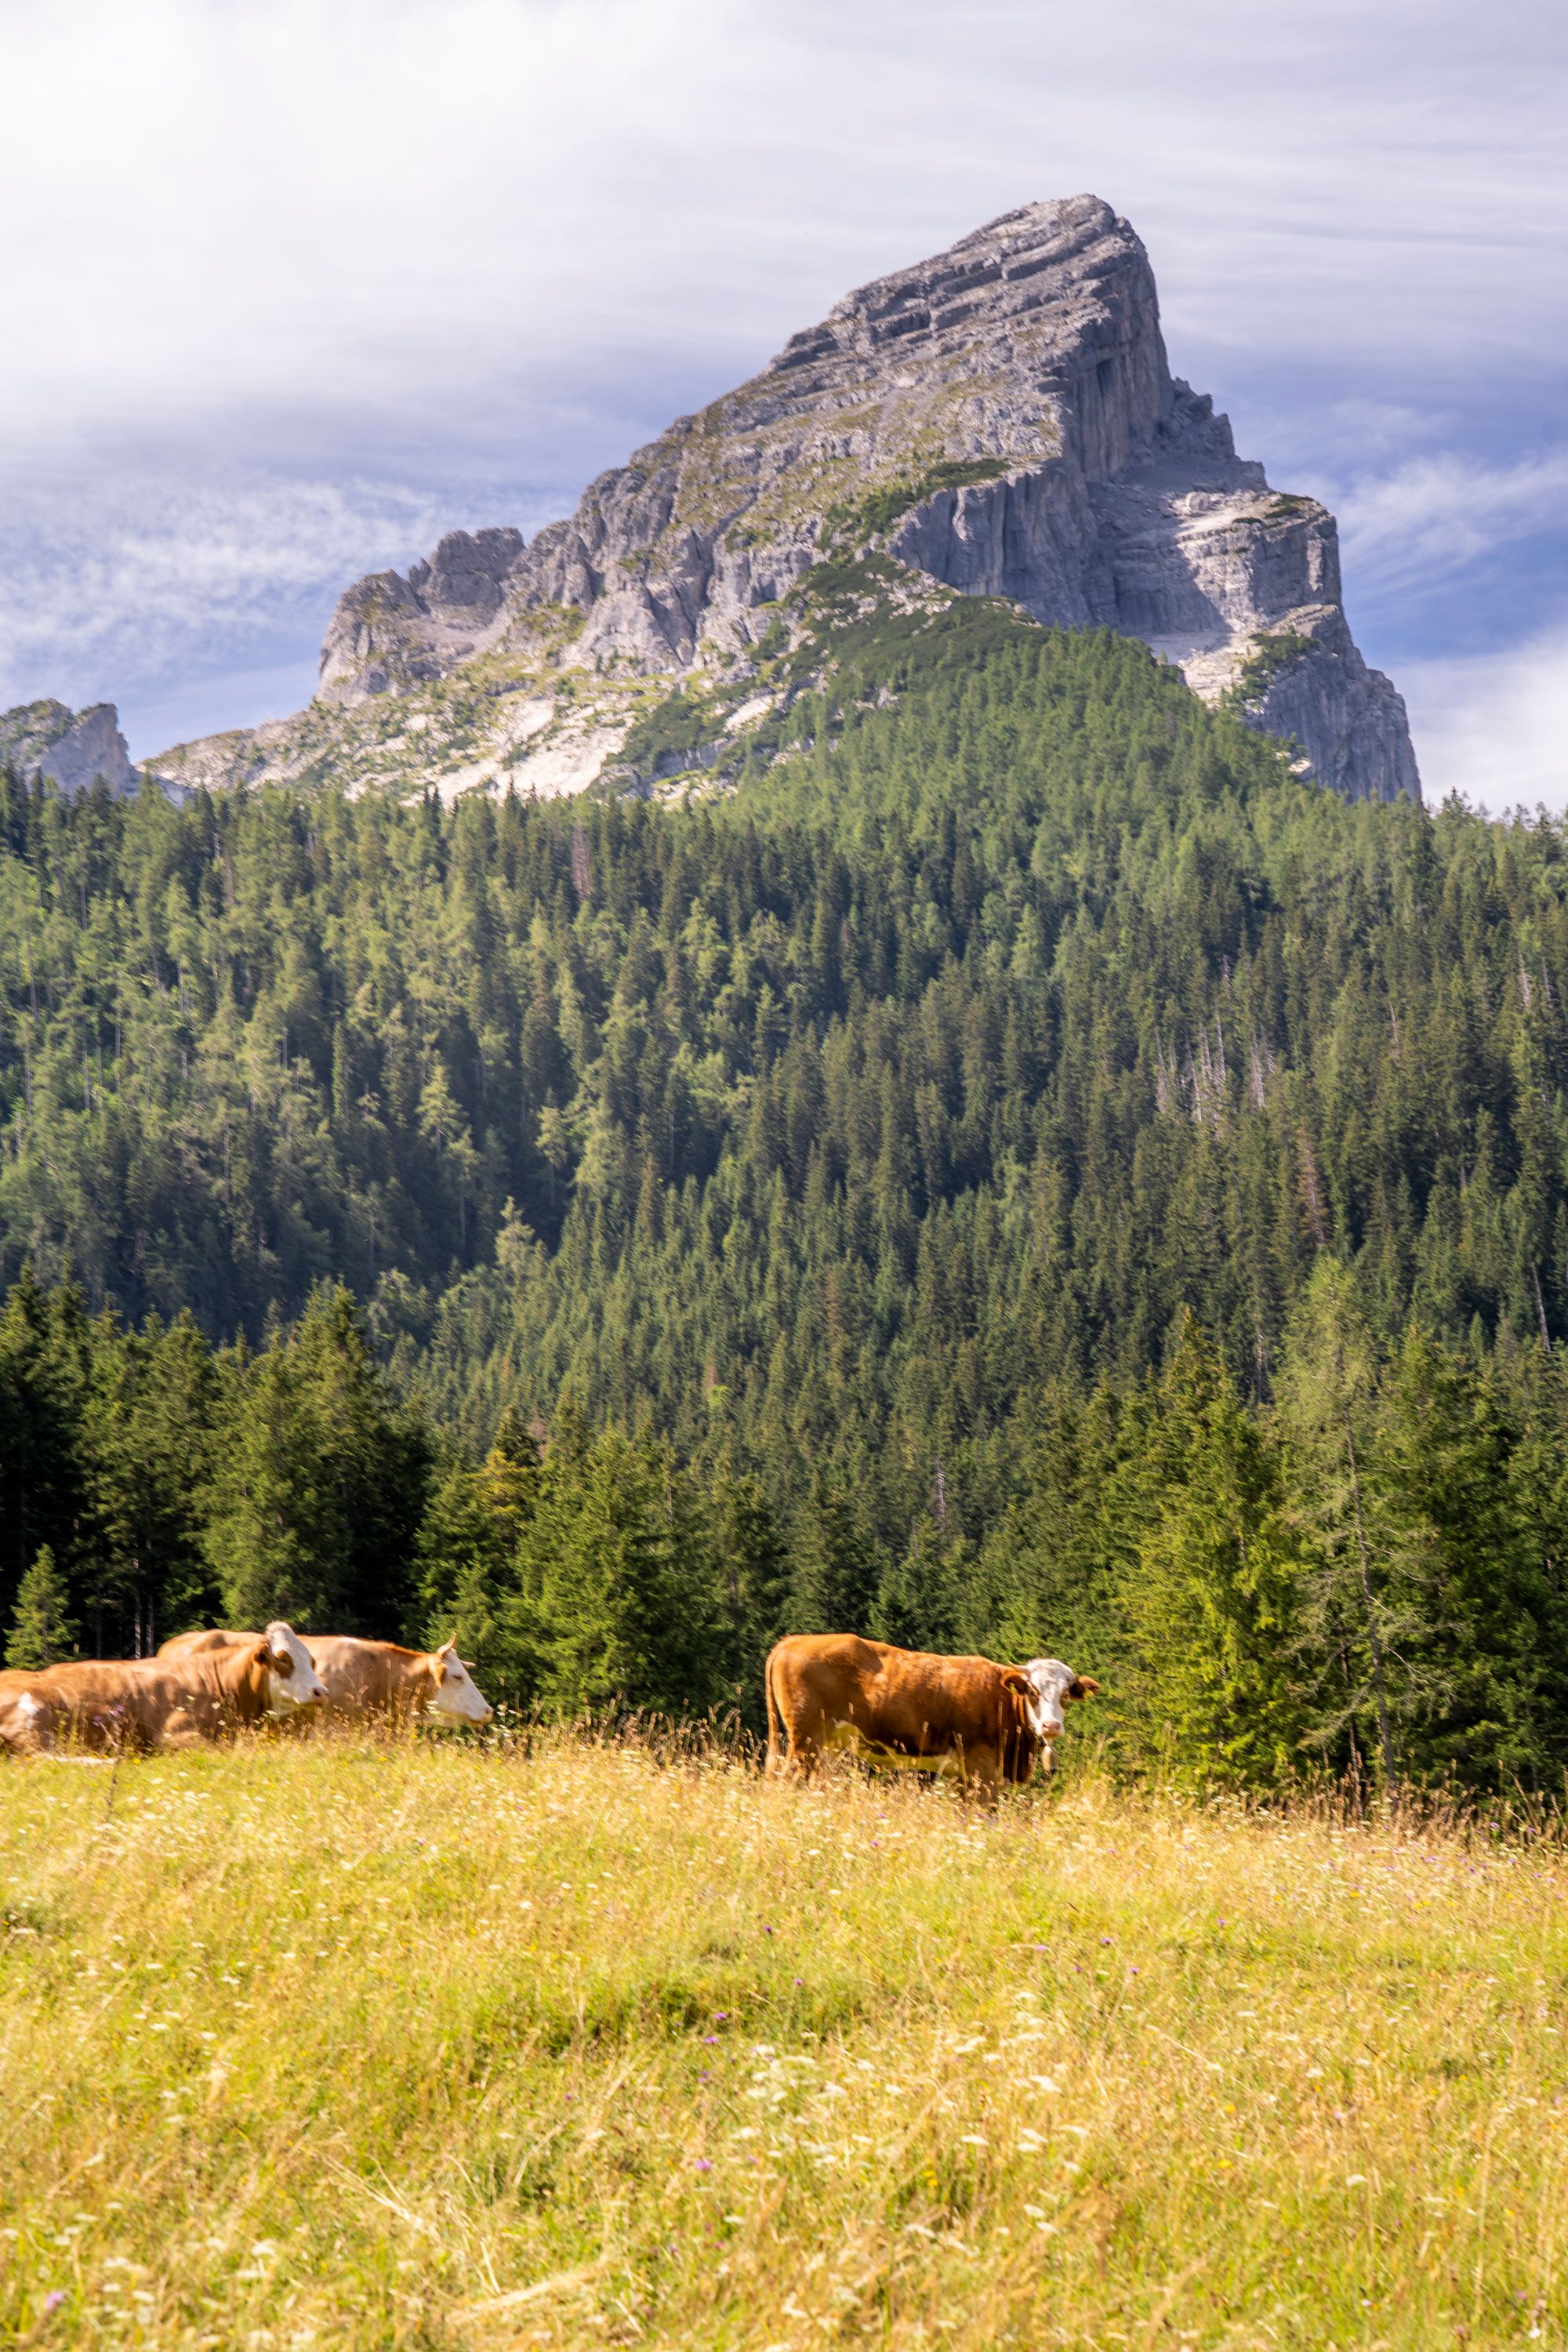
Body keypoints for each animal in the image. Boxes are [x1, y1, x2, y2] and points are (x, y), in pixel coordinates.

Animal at [764, 1635, 1100, 1799]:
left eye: (1066, 1694)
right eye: (1032, 1691)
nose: (1051, 1725)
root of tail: (793, 1640)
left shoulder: (962, 1775)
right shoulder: (983, 1770)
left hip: (828, 1745)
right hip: (806, 1739)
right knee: (788, 1779)